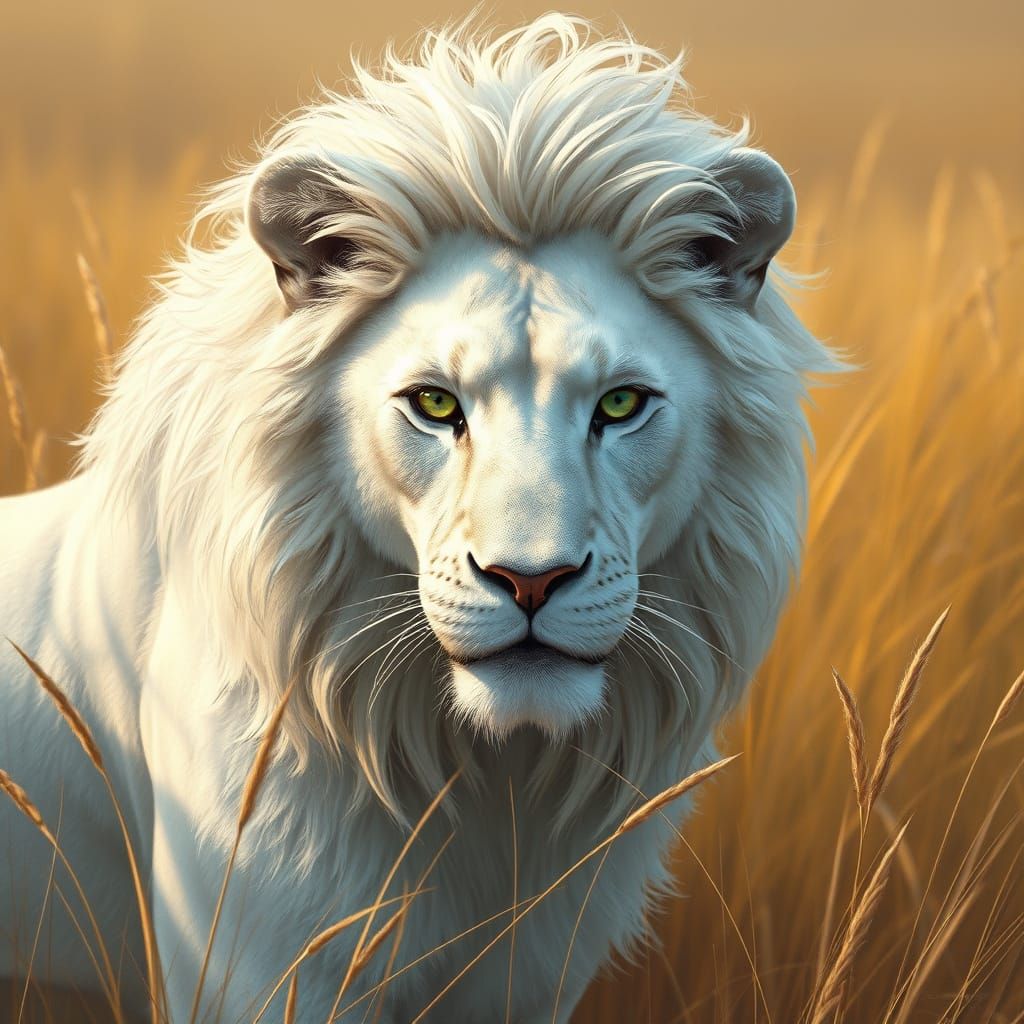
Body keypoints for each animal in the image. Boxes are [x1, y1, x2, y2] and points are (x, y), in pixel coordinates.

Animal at [0, 12, 836, 1023]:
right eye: (435, 405)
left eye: (622, 403)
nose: (530, 580)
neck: (482, 790)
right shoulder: (258, 967)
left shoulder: (532, 976)